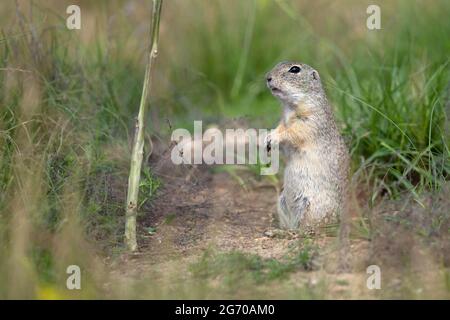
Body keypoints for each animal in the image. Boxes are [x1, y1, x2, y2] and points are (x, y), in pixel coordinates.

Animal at [266, 60, 350, 230]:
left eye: (294, 69)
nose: (268, 78)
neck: (289, 108)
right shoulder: (283, 121)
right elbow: (281, 131)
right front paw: (268, 138)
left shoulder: (310, 121)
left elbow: (294, 132)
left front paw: (274, 137)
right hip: (282, 203)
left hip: (309, 207)